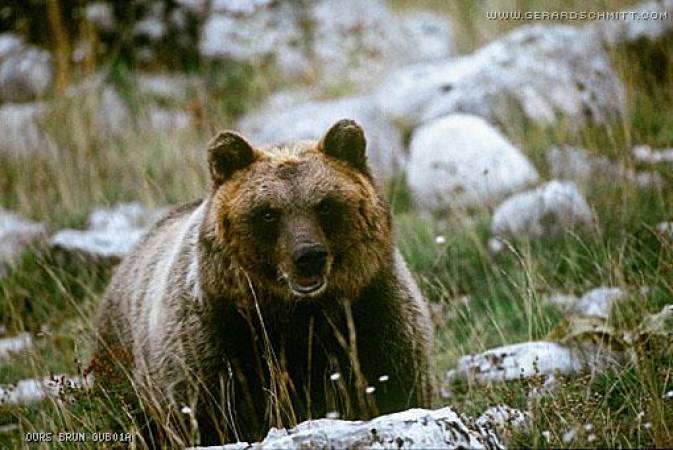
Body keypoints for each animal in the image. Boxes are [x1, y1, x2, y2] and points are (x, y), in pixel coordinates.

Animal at [90, 119, 436, 446]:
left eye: (325, 203)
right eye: (268, 212)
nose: (309, 256)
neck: (296, 315)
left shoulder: (373, 316)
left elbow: (396, 385)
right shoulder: (215, 341)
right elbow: (206, 413)